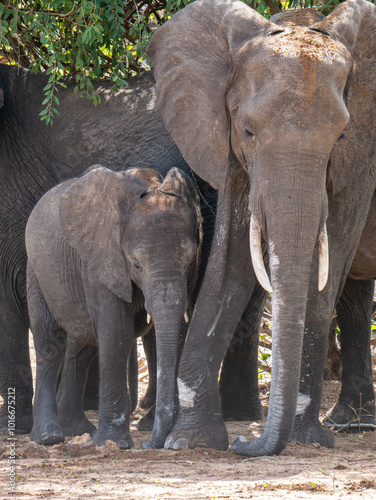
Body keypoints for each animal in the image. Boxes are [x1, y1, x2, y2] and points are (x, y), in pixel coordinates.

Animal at [25, 167, 203, 450]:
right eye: (136, 263)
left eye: (189, 260)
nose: (150, 445)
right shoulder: (102, 260)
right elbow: (115, 331)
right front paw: (114, 443)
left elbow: (180, 329)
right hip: (37, 269)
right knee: (51, 342)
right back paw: (48, 436)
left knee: (82, 344)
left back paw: (77, 430)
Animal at [147, 0, 376, 456]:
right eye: (249, 131)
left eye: (341, 137)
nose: (243, 443)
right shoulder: (229, 146)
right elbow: (230, 263)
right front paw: (190, 441)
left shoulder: (363, 156)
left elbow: (326, 269)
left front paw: (307, 438)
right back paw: (352, 421)